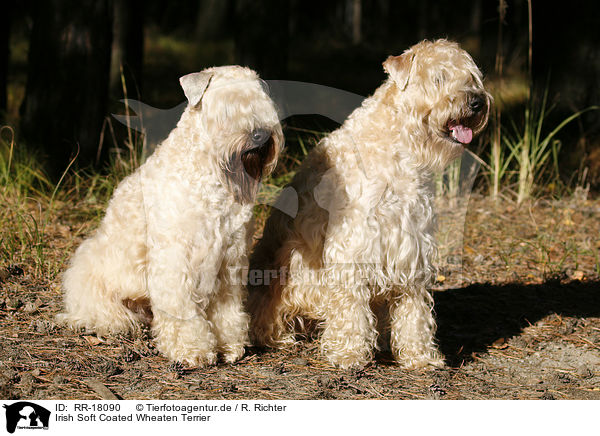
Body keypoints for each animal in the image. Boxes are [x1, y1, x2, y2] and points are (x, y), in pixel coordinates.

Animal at [57, 64, 282, 364]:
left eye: (263, 103)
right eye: (225, 108)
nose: (261, 135)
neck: (210, 177)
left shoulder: (230, 256)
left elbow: (226, 307)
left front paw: (227, 344)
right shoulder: (176, 256)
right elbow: (181, 308)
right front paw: (192, 349)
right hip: (91, 268)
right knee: (94, 306)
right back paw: (115, 322)